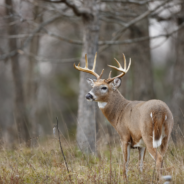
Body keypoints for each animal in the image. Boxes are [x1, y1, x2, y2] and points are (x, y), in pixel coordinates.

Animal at [74, 53, 173, 181]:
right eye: (93, 85)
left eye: (104, 87)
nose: (88, 95)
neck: (119, 113)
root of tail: (160, 111)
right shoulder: (140, 144)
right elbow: (140, 164)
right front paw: (140, 179)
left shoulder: (124, 136)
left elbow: (125, 162)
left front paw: (124, 179)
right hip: (166, 134)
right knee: (163, 156)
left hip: (148, 134)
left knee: (159, 158)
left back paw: (161, 179)